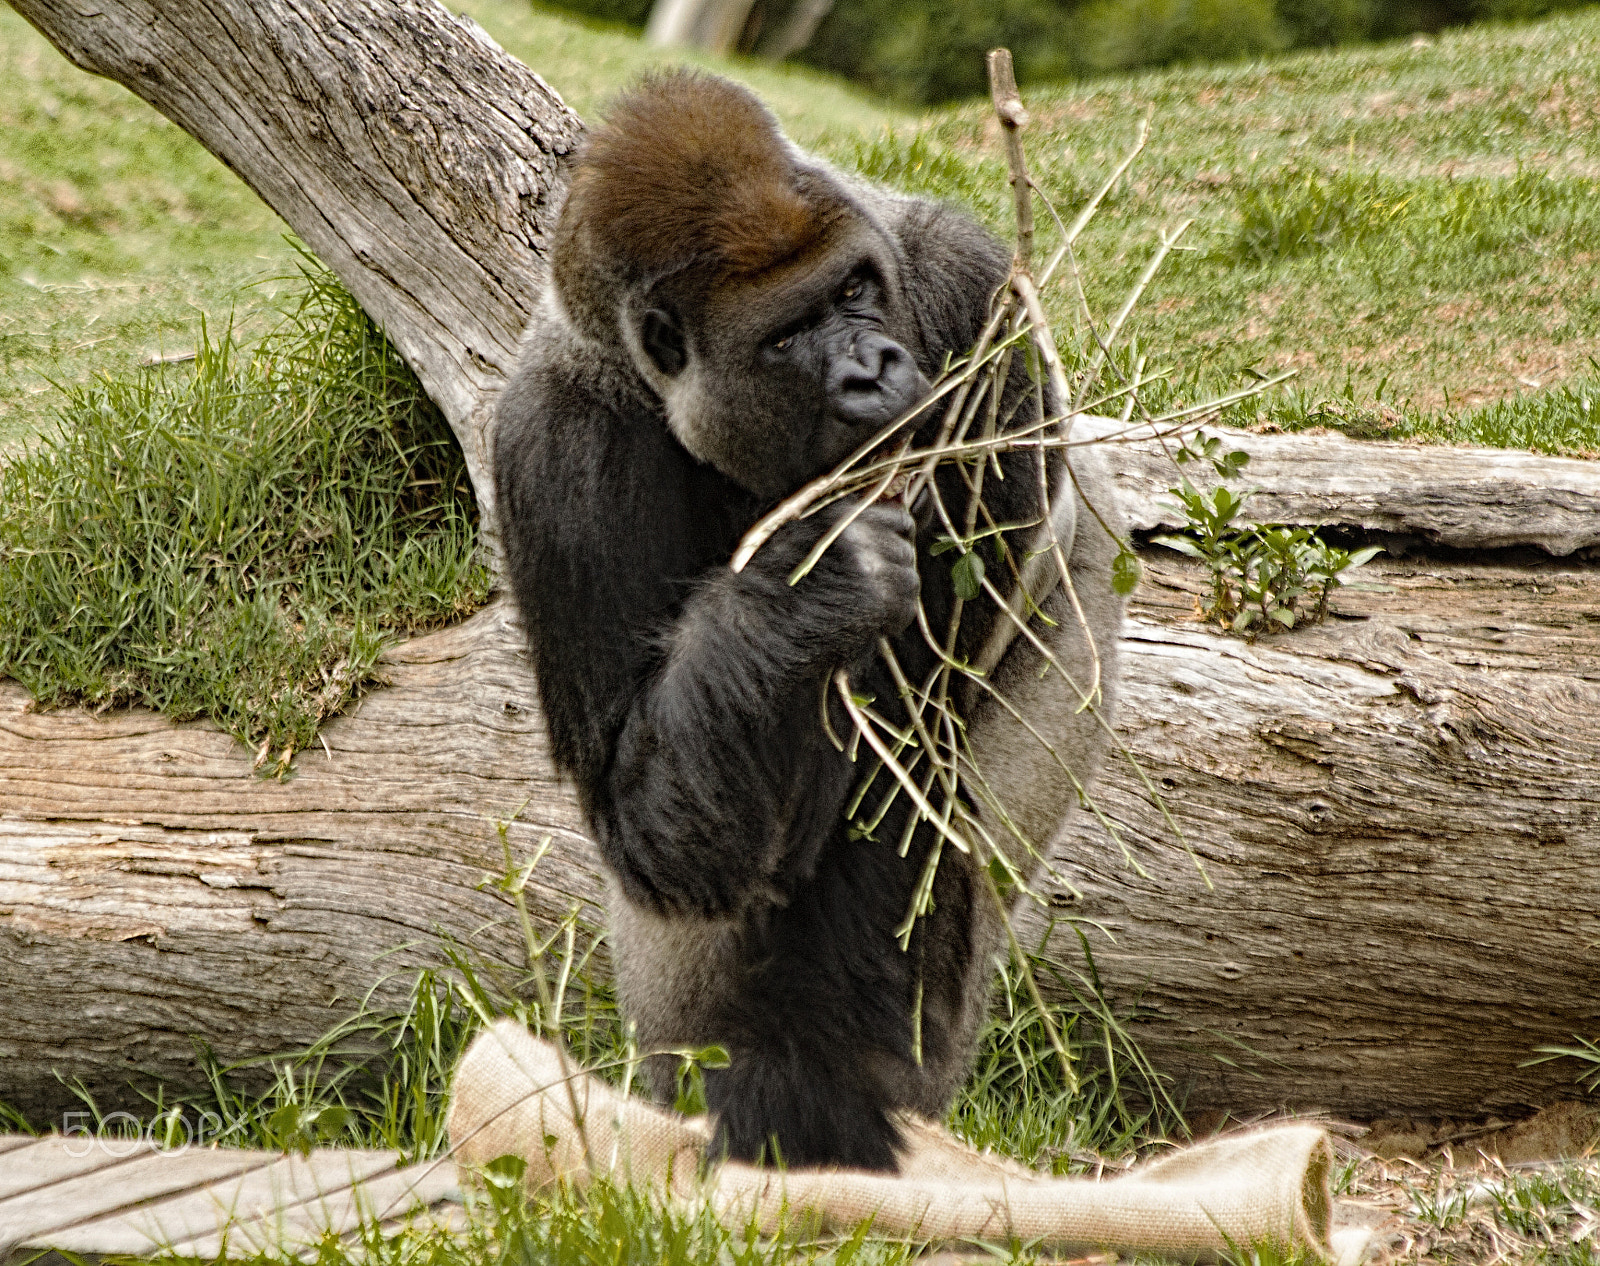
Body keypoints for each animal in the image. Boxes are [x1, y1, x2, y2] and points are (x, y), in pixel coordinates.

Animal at [494, 69, 1126, 1172]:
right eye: (786, 337)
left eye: (854, 293)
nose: (872, 370)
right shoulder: (551, 445)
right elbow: (644, 822)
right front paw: (809, 585)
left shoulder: (977, 299)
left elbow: (911, 744)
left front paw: (827, 1085)